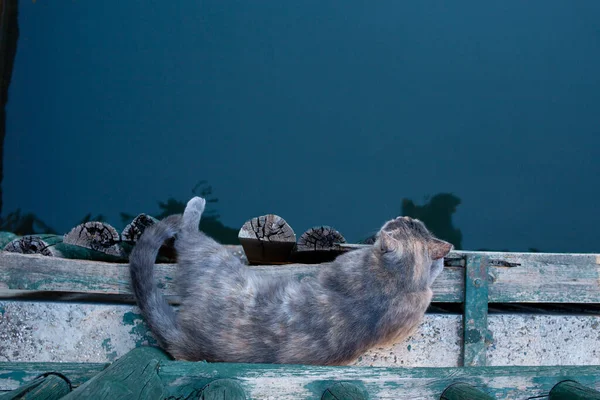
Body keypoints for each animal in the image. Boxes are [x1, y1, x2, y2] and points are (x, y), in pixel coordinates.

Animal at [129, 197, 452, 366]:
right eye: (409, 221)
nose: (401, 215)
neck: (395, 280)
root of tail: (187, 341)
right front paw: (438, 262)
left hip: (212, 255)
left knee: (188, 234)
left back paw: (195, 205)